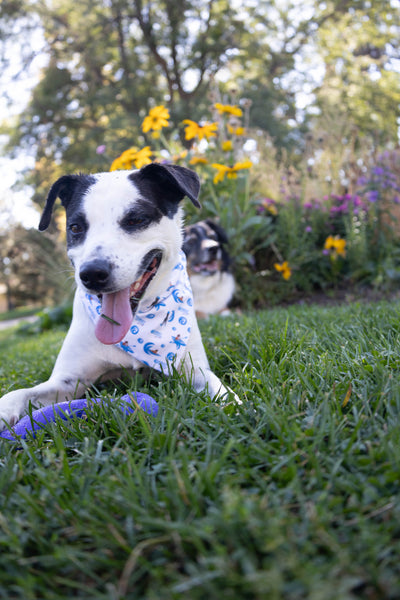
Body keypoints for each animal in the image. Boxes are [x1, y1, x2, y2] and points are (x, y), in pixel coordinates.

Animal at [0, 162, 234, 428]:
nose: (92, 274)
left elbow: (223, 393)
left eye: (136, 219)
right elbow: (19, 393)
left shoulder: (195, 370)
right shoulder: (67, 382)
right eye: (76, 227)